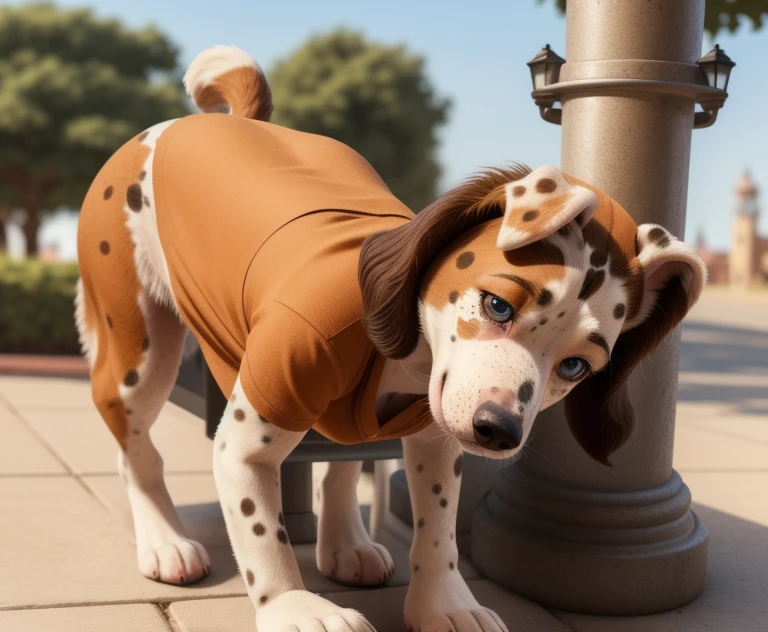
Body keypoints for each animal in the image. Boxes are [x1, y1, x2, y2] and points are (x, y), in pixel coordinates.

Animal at [76, 45, 708, 632]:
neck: (408, 352)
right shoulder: (249, 434)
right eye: (498, 305)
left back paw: (345, 544)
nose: (499, 431)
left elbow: (437, 531)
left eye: (576, 368)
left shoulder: (435, 440)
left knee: (341, 454)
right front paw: (294, 609)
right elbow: (262, 531)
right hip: (141, 353)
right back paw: (164, 540)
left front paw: (445, 604)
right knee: (134, 445)